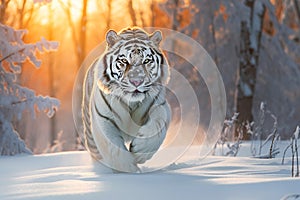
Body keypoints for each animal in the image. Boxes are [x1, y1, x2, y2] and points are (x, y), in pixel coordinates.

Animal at [82, 27, 171, 173]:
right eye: (124, 61)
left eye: (146, 61)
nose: (136, 81)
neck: (131, 103)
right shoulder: (104, 118)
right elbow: (114, 149)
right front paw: (128, 171)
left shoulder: (160, 106)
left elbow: (157, 126)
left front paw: (140, 151)